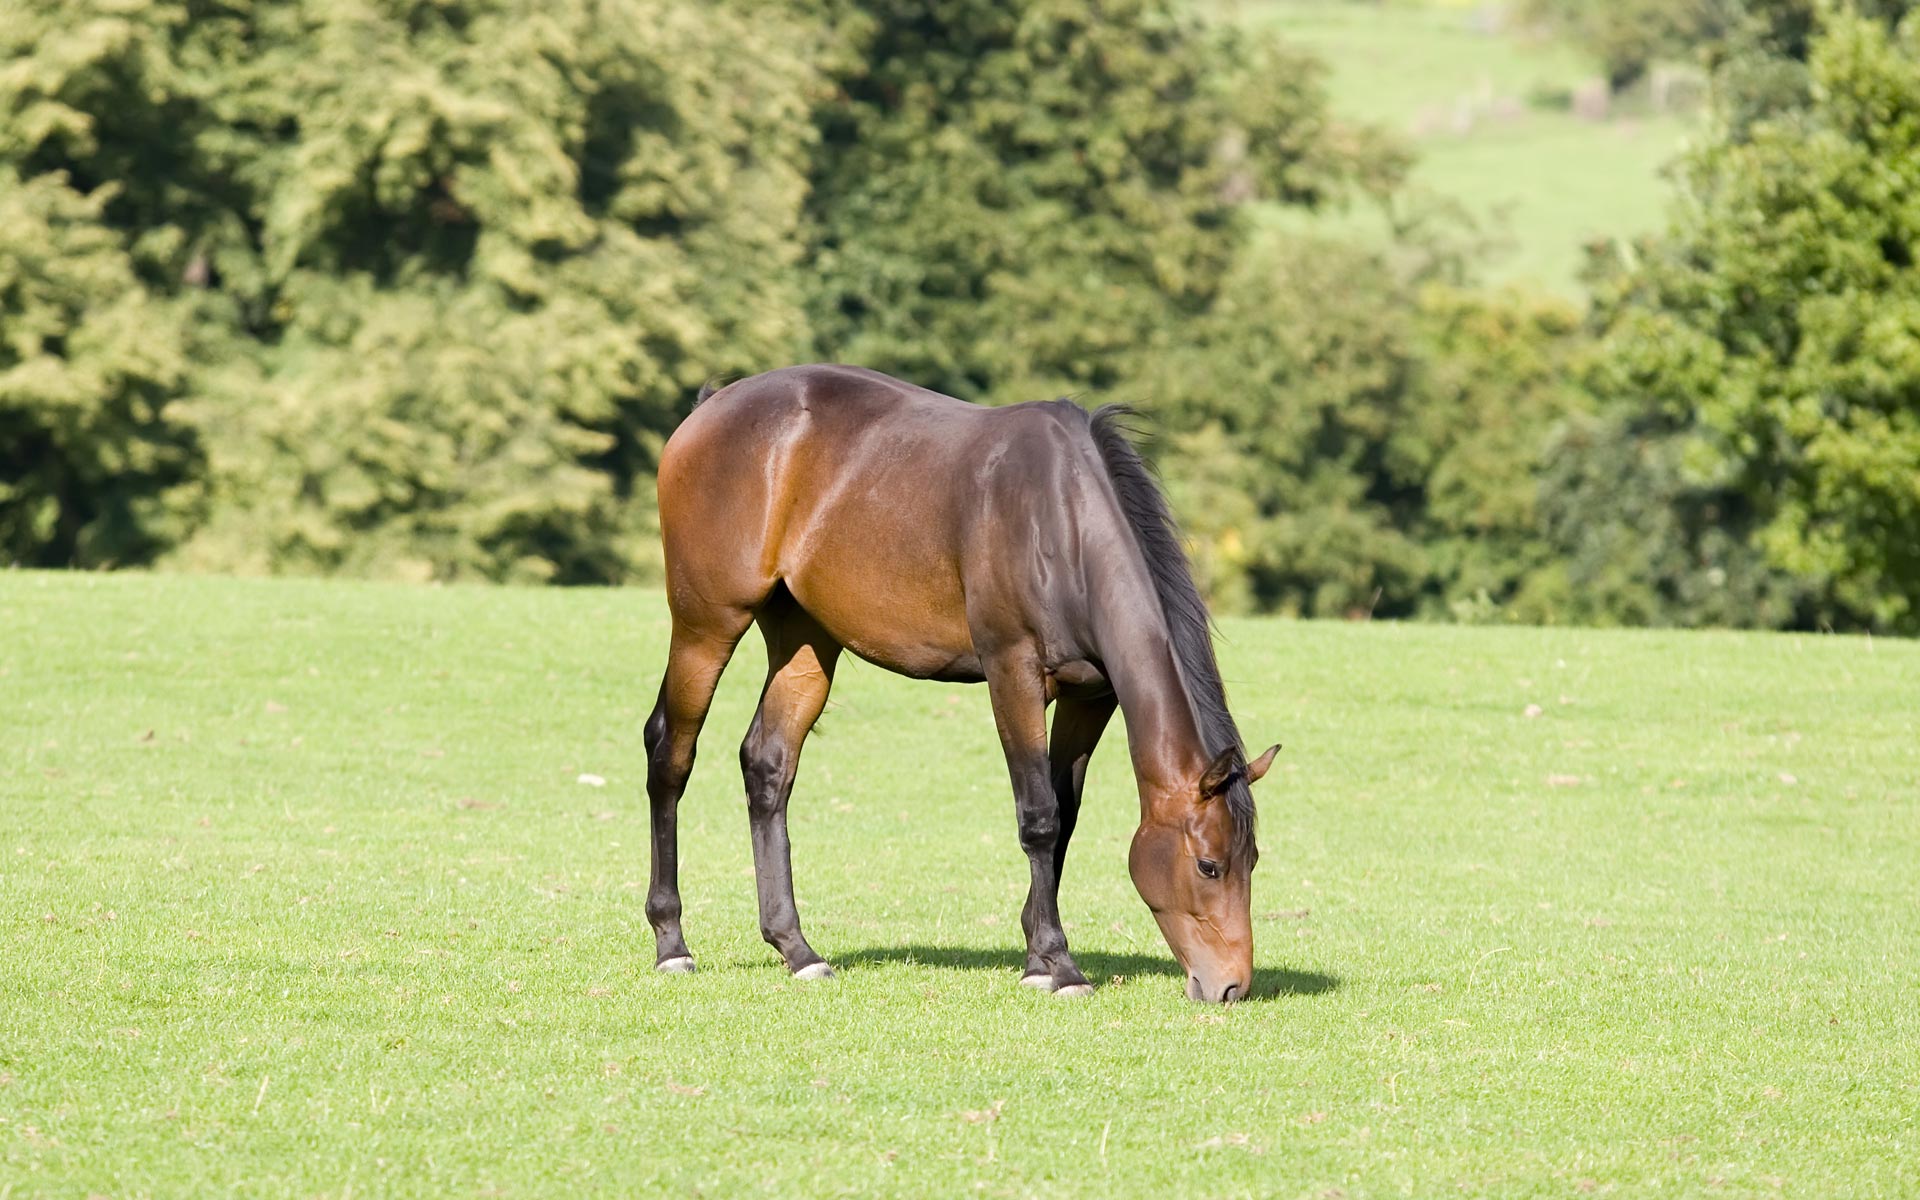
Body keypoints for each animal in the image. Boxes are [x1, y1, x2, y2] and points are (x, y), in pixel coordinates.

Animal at [641, 360, 1274, 998]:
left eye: (1252, 860)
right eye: (1209, 865)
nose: (1231, 988)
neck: (1061, 521)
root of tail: (710, 407)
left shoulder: (1090, 697)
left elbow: (1065, 816)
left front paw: (1035, 958)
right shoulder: (1012, 674)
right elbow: (1039, 817)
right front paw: (1059, 964)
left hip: (807, 643)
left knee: (767, 765)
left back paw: (796, 948)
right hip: (706, 625)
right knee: (670, 752)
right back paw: (672, 943)